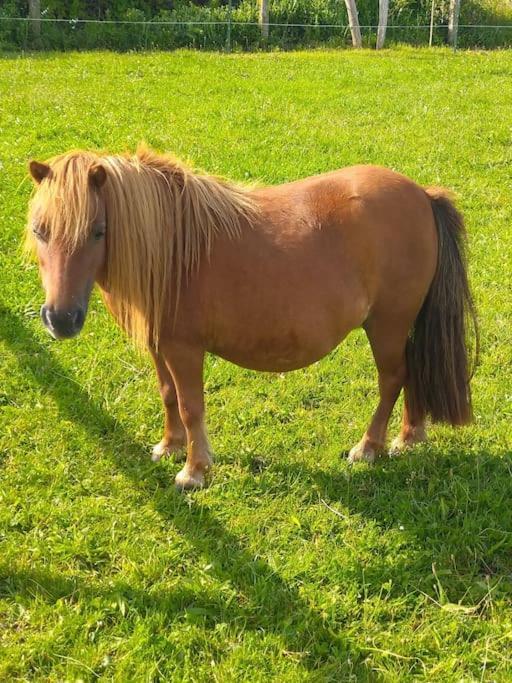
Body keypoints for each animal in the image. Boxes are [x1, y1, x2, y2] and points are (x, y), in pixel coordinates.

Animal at [26, 148, 478, 492]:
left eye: (98, 231)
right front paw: (169, 446)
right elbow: (168, 395)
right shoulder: (160, 347)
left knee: (393, 379)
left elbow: (191, 406)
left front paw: (194, 471)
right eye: (39, 230)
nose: (61, 319)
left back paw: (369, 447)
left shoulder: (183, 350)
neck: (172, 251)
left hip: (387, 325)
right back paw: (409, 437)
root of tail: (422, 195)